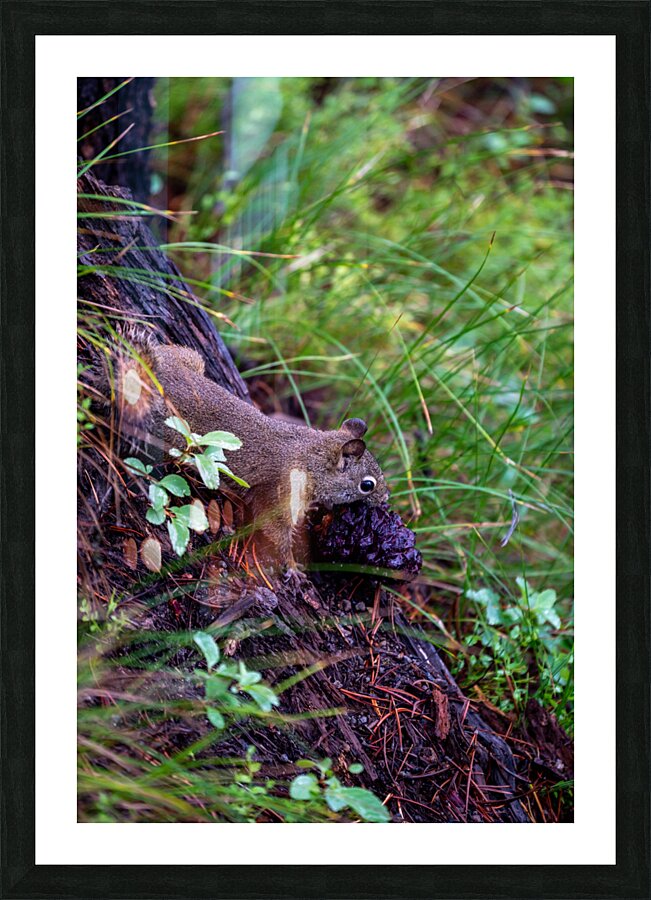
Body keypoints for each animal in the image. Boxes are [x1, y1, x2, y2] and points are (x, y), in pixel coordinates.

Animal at [114, 331, 389, 566]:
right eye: (367, 485)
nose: (385, 499)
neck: (311, 456)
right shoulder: (282, 489)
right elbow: (276, 528)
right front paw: (291, 565)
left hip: (191, 359)